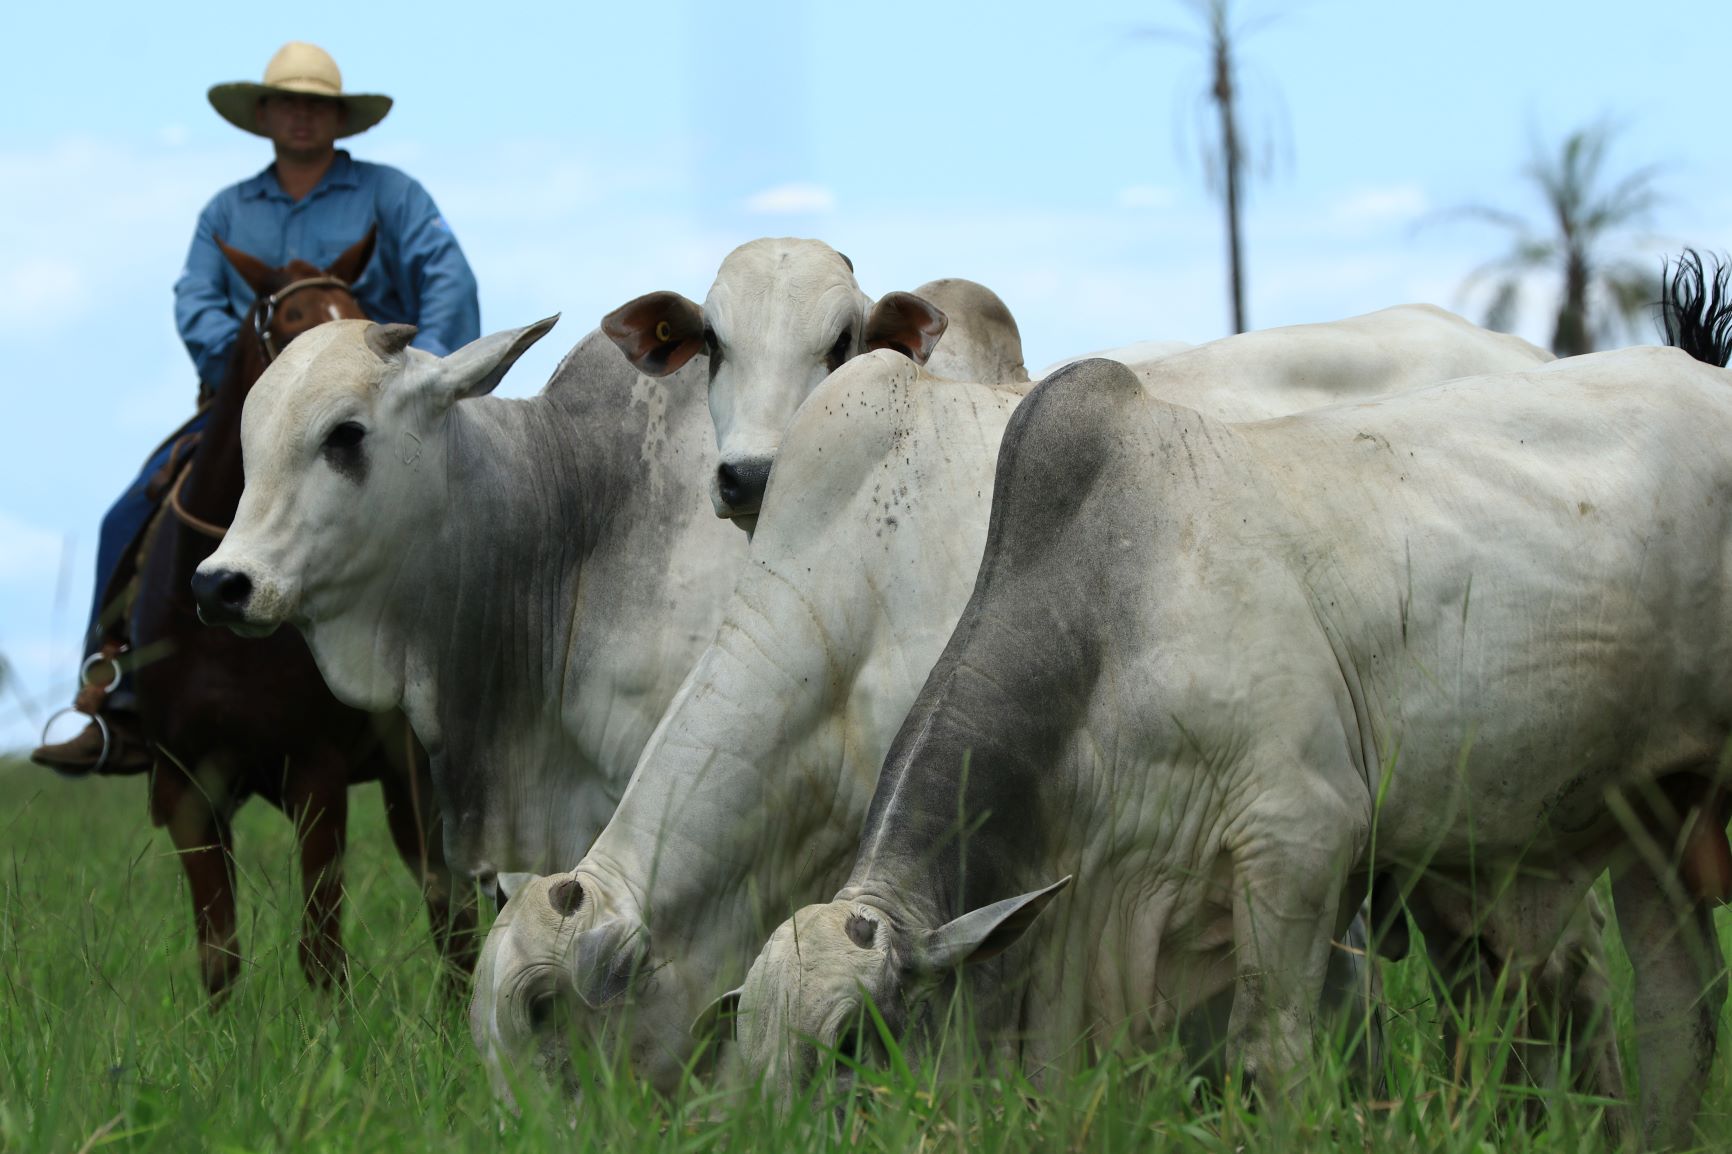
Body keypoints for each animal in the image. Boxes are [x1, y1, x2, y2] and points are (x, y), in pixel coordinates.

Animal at [126, 228, 481, 991]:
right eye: (285, 325)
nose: (220, 590)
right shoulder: (187, 788)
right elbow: (218, 954)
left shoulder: (315, 777)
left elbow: (321, 951)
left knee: (455, 911)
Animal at [730, 330, 1732, 1143]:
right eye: (746, 1052)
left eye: (851, 1042)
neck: (1105, 636)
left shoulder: (1300, 838)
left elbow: (1270, 1060)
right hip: (1656, 814)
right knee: (1677, 1010)